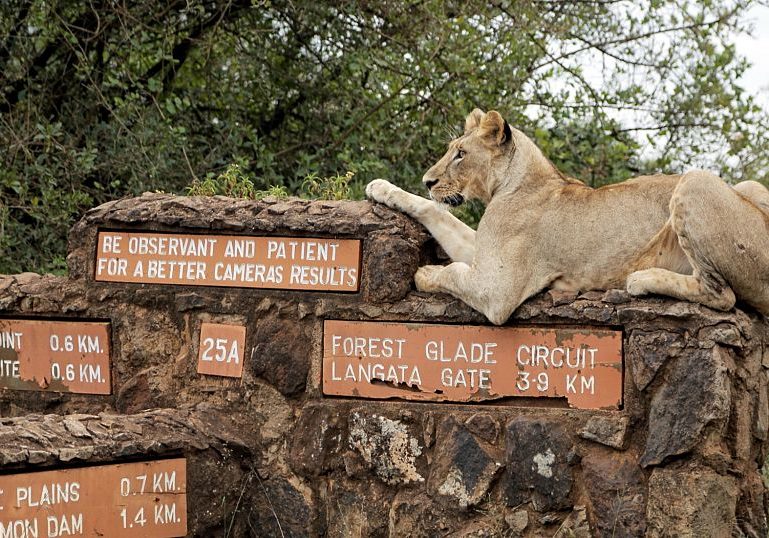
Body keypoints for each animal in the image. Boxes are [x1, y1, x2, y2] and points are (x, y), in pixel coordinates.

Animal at [366, 108, 769, 325]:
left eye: (461, 154)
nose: (428, 180)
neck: (514, 182)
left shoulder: (496, 290)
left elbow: (450, 273)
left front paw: (423, 273)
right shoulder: (483, 253)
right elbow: (435, 211)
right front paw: (380, 188)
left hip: (696, 180)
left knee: (722, 295)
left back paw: (641, 279)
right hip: (747, 185)